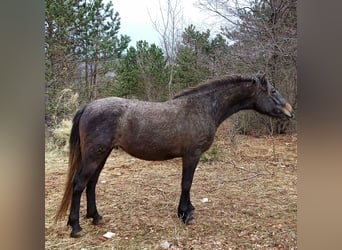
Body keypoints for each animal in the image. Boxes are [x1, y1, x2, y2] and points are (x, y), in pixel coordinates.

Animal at [55, 73, 294, 237]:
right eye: (273, 91)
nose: (290, 111)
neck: (202, 108)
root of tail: (89, 106)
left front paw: (189, 209)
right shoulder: (192, 155)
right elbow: (186, 184)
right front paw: (184, 214)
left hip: (102, 155)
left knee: (92, 183)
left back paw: (95, 217)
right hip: (94, 155)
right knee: (79, 184)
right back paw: (75, 226)